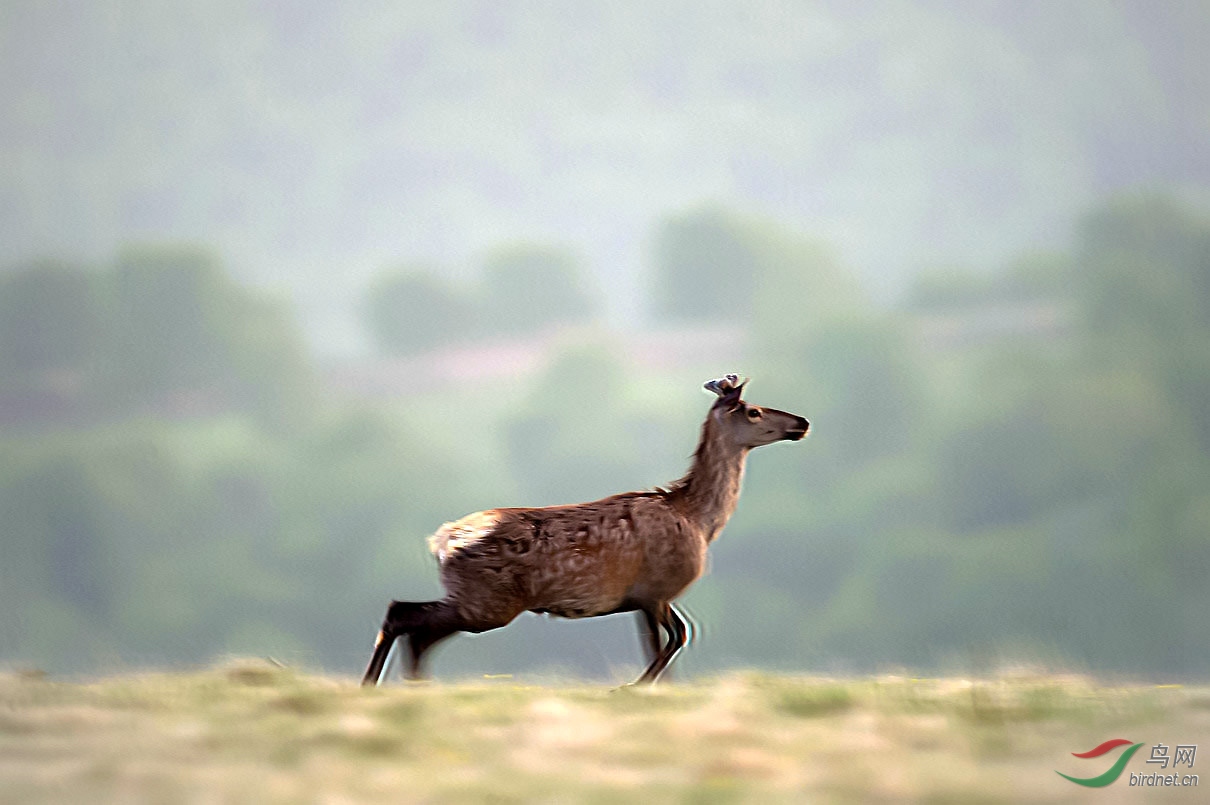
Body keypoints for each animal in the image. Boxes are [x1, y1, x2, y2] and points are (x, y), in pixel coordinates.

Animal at [361, 374, 809, 686]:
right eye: (753, 411)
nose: (802, 421)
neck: (697, 519)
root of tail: (442, 540)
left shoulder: (642, 599)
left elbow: (667, 640)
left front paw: (652, 687)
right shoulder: (657, 590)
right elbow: (677, 637)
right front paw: (635, 686)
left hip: (477, 600)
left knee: (414, 627)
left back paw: (409, 685)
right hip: (488, 601)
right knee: (404, 616)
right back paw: (375, 683)